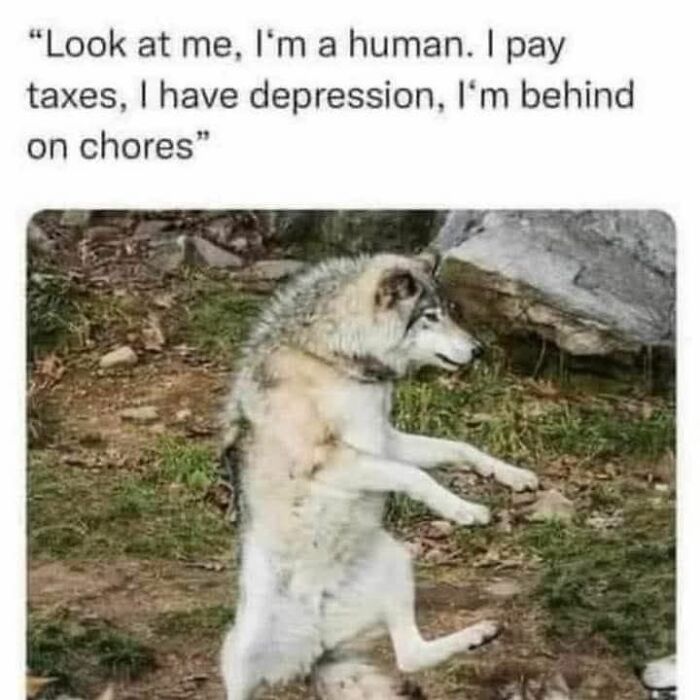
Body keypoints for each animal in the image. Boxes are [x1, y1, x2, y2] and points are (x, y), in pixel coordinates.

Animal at [219, 252, 539, 699]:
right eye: (430, 317)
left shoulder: (387, 439)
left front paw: (514, 476)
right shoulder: (334, 461)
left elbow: (460, 449)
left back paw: (480, 634)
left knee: (410, 655)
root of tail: (318, 639)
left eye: (450, 312)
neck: (332, 358)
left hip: (398, 562)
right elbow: (415, 475)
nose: (479, 350)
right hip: (237, 651)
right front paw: (465, 510)